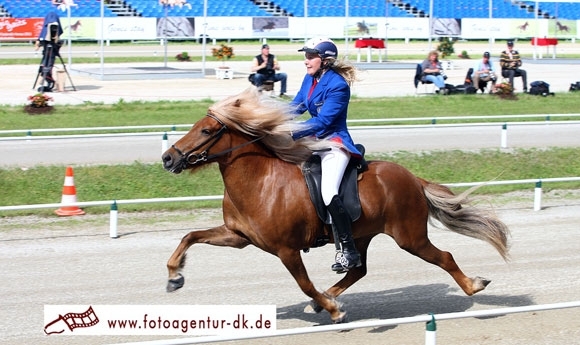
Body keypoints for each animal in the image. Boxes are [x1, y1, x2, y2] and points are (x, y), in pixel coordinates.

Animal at [161, 88, 510, 322]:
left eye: (206, 130)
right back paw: (327, 296)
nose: (168, 158)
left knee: (444, 257)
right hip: (361, 235)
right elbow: (190, 236)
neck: (260, 181)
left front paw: (333, 311)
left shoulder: (286, 250)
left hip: (409, 236)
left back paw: (473, 284)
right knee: (358, 269)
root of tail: (412, 178)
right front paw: (175, 276)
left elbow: (304, 284)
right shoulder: (238, 237)